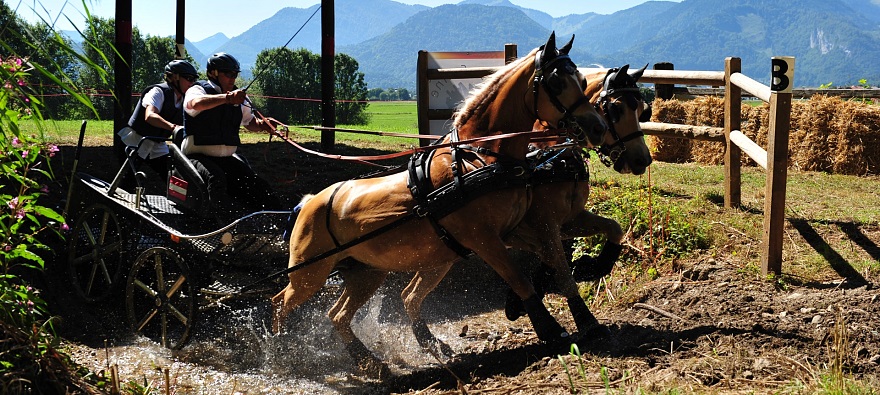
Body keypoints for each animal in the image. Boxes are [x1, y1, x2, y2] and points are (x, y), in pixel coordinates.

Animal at [272, 31, 608, 378]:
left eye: (582, 79)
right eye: (556, 81)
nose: (597, 127)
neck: (479, 158)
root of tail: (308, 202)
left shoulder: (515, 230)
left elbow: (558, 265)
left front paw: (586, 318)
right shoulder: (484, 238)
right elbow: (520, 277)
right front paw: (550, 329)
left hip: (372, 271)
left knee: (343, 313)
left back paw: (375, 360)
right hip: (309, 274)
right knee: (280, 303)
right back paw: (282, 353)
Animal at [400, 64, 652, 356]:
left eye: (642, 109)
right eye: (616, 108)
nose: (642, 159)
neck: (546, 157)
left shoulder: (566, 221)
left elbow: (612, 229)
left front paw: (590, 266)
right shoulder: (541, 224)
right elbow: (561, 270)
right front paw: (586, 321)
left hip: (441, 256)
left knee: (410, 295)